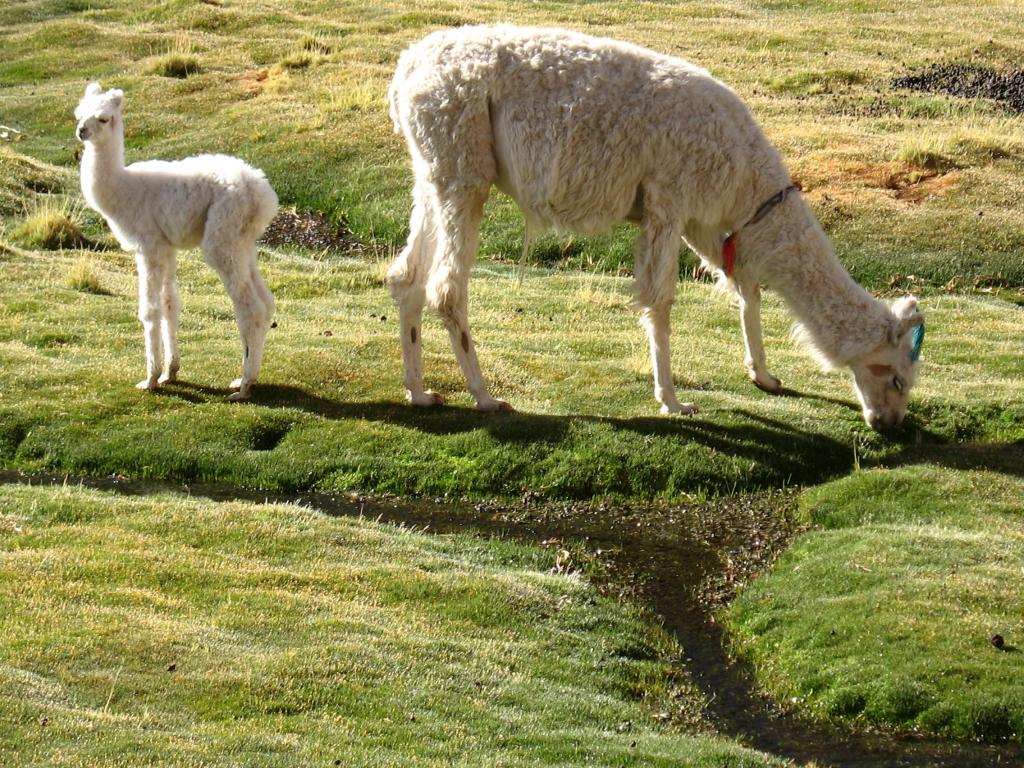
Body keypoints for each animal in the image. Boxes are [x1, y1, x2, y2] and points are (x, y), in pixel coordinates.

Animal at [74, 83, 278, 403]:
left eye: (104, 118)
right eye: (78, 113)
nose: (82, 131)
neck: (123, 188)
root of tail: (263, 193)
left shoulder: (148, 245)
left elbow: (150, 310)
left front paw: (150, 379)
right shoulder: (166, 246)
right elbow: (171, 304)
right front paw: (171, 372)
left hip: (221, 237)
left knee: (250, 307)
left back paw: (244, 387)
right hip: (243, 243)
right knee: (266, 302)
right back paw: (243, 377)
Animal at [385, 25, 929, 434]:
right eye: (898, 377)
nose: (890, 423)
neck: (746, 182)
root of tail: (408, 66)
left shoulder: (704, 223)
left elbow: (746, 288)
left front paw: (764, 375)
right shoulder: (669, 200)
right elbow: (661, 302)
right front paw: (672, 400)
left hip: (433, 169)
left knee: (406, 278)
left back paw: (419, 392)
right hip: (464, 167)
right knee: (447, 288)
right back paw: (484, 397)